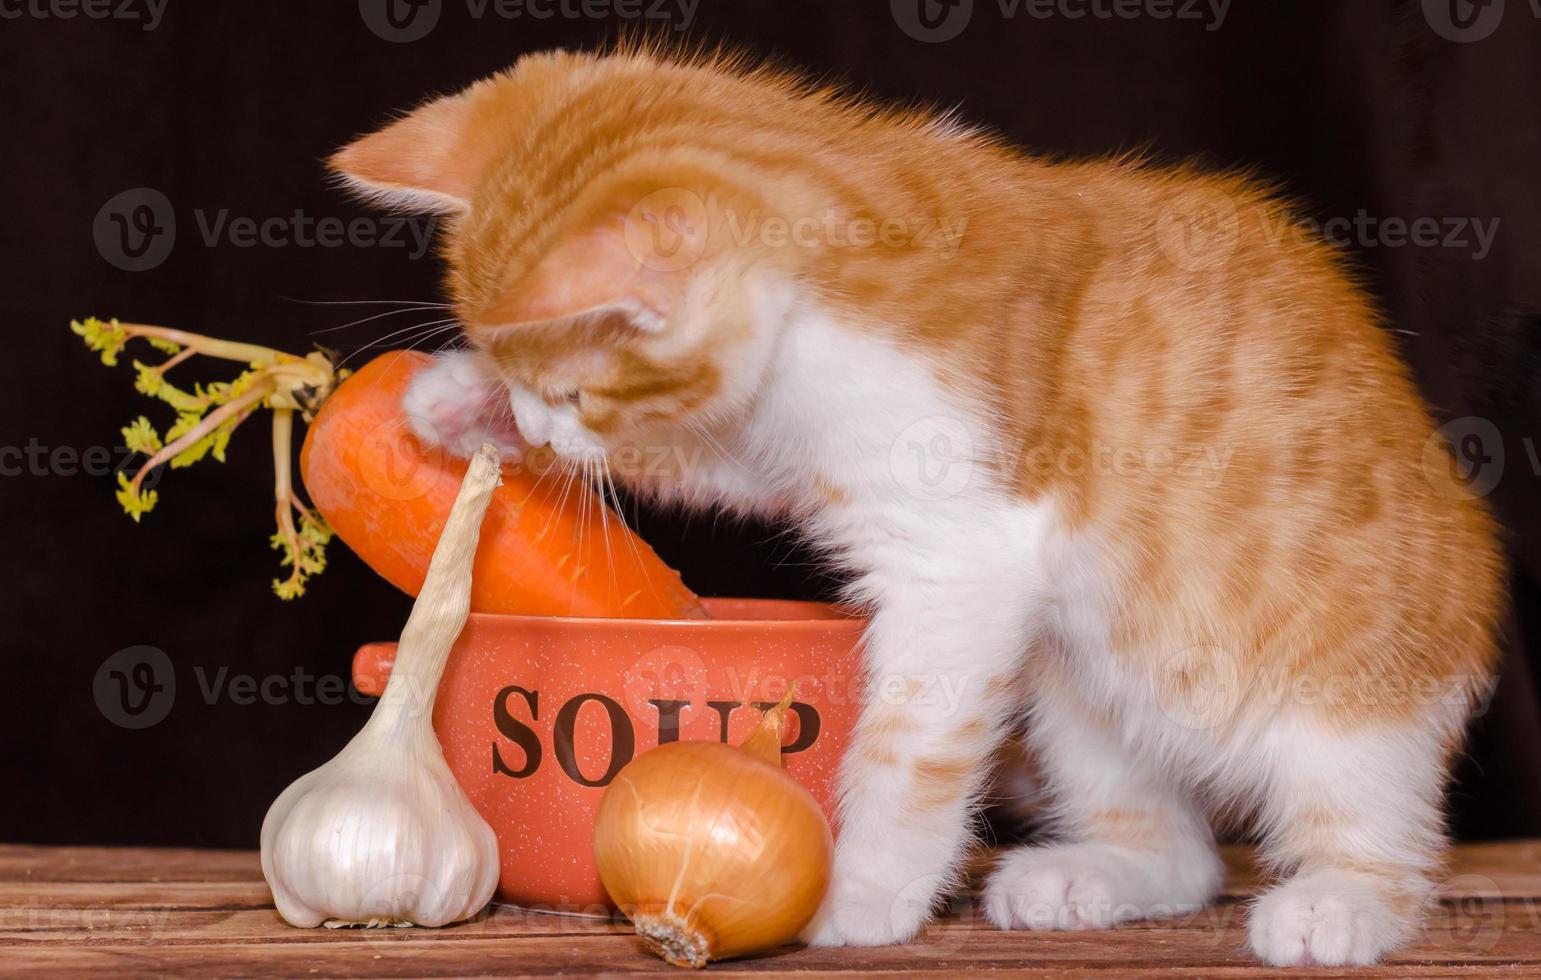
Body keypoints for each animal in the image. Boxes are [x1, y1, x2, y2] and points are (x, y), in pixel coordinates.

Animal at [334, 44, 1504, 967]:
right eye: (524, 377)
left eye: (578, 391)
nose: (540, 426)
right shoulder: (775, 442)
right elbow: (711, 459)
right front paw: (453, 401)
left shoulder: (958, 552)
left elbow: (905, 749)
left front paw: (858, 891)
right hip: (1074, 692)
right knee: (1180, 853)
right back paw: (1091, 875)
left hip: (1347, 701)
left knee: (1374, 824)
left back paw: (1337, 905)